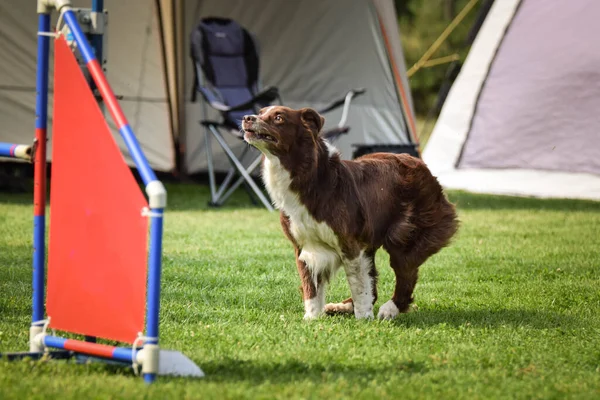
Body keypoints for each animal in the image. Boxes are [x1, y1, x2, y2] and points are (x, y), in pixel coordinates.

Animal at [241, 105, 458, 318]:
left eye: (278, 117)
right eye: (260, 113)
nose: (247, 118)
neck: (309, 176)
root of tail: (421, 164)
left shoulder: (350, 243)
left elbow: (358, 284)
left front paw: (363, 319)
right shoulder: (303, 244)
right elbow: (310, 285)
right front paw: (312, 319)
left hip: (406, 234)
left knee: (405, 274)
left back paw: (389, 309)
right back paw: (342, 306)